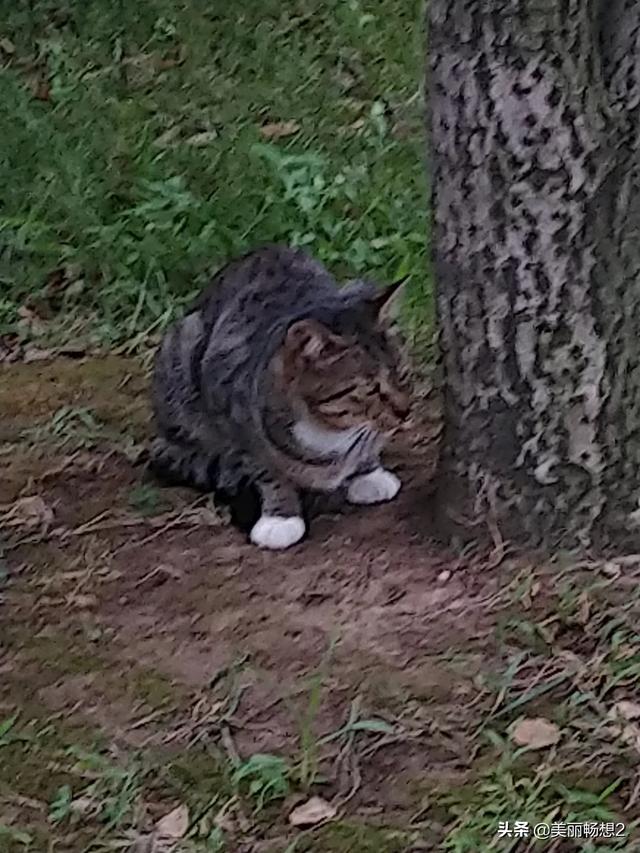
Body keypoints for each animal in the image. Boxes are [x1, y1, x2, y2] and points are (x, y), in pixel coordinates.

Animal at [149, 245, 410, 552]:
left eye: (402, 373)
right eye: (370, 389)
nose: (405, 411)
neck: (326, 429)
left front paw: (369, 472)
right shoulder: (230, 409)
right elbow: (264, 468)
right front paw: (281, 517)